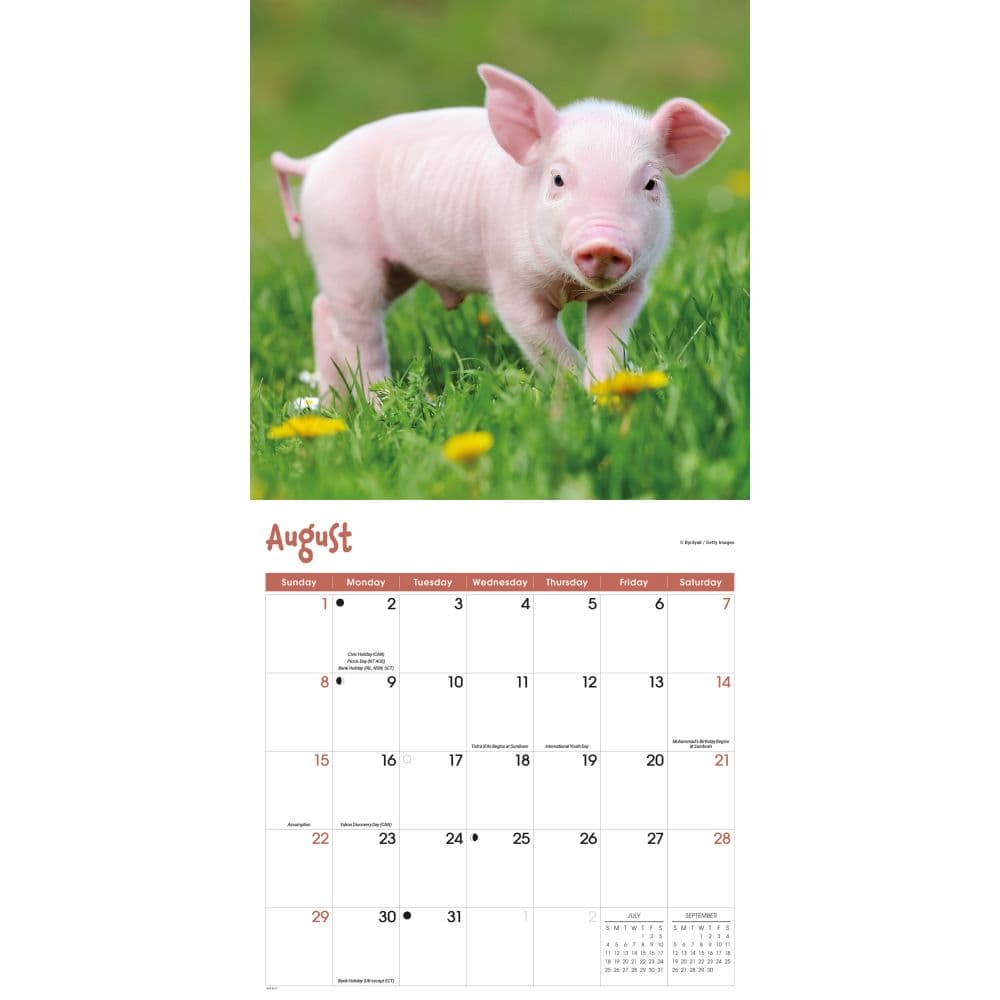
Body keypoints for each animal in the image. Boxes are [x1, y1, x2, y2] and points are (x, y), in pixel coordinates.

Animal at [271, 65, 729, 399]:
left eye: (651, 183)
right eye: (558, 179)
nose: (603, 242)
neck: (569, 286)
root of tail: (315, 161)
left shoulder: (630, 287)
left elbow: (608, 340)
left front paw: (607, 392)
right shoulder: (511, 285)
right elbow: (546, 344)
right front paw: (573, 399)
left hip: (389, 268)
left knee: (324, 311)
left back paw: (334, 408)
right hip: (344, 252)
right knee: (358, 333)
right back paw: (380, 404)